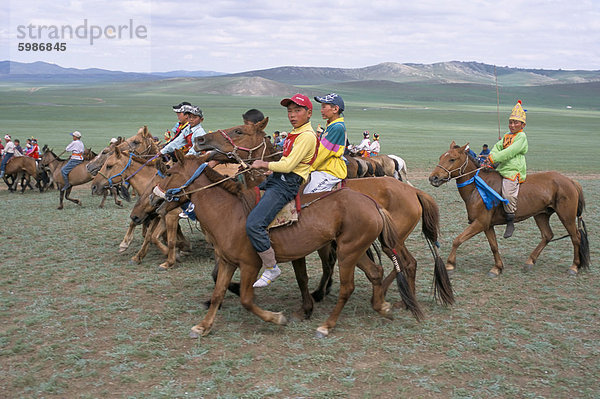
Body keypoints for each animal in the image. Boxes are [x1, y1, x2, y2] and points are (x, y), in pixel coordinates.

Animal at [149, 152, 422, 340]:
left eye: (170, 173)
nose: (153, 198)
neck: (230, 212)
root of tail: (372, 203)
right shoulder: (227, 261)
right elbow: (218, 294)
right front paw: (203, 326)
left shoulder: (250, 264)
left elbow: (247, 299)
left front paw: (277, 318)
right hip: (354, 249)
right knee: (375, 272)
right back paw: (382, 307)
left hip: (348, 252)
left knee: (348, 287)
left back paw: (327, 326)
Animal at [195, 119, 452, 306]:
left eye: (238, 130)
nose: (200, 139)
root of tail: (414, 192)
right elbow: (218, 270)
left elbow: (321, 267)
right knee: (408, 263)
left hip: (392, 240)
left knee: (407, 263)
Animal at [426, 141, 592, 278]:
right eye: (441, 157)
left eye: (452, 159)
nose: (433, 178)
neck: (477, 187)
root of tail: (570, 181)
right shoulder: (487, 225)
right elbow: (494, 246)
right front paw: (497, 268)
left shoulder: (480, 223)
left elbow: (457, 240)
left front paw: (450, 264)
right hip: (541, 215)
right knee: (547, 235)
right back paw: (530, 261)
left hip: (566, 216)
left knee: (575, 237)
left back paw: (574, 267)